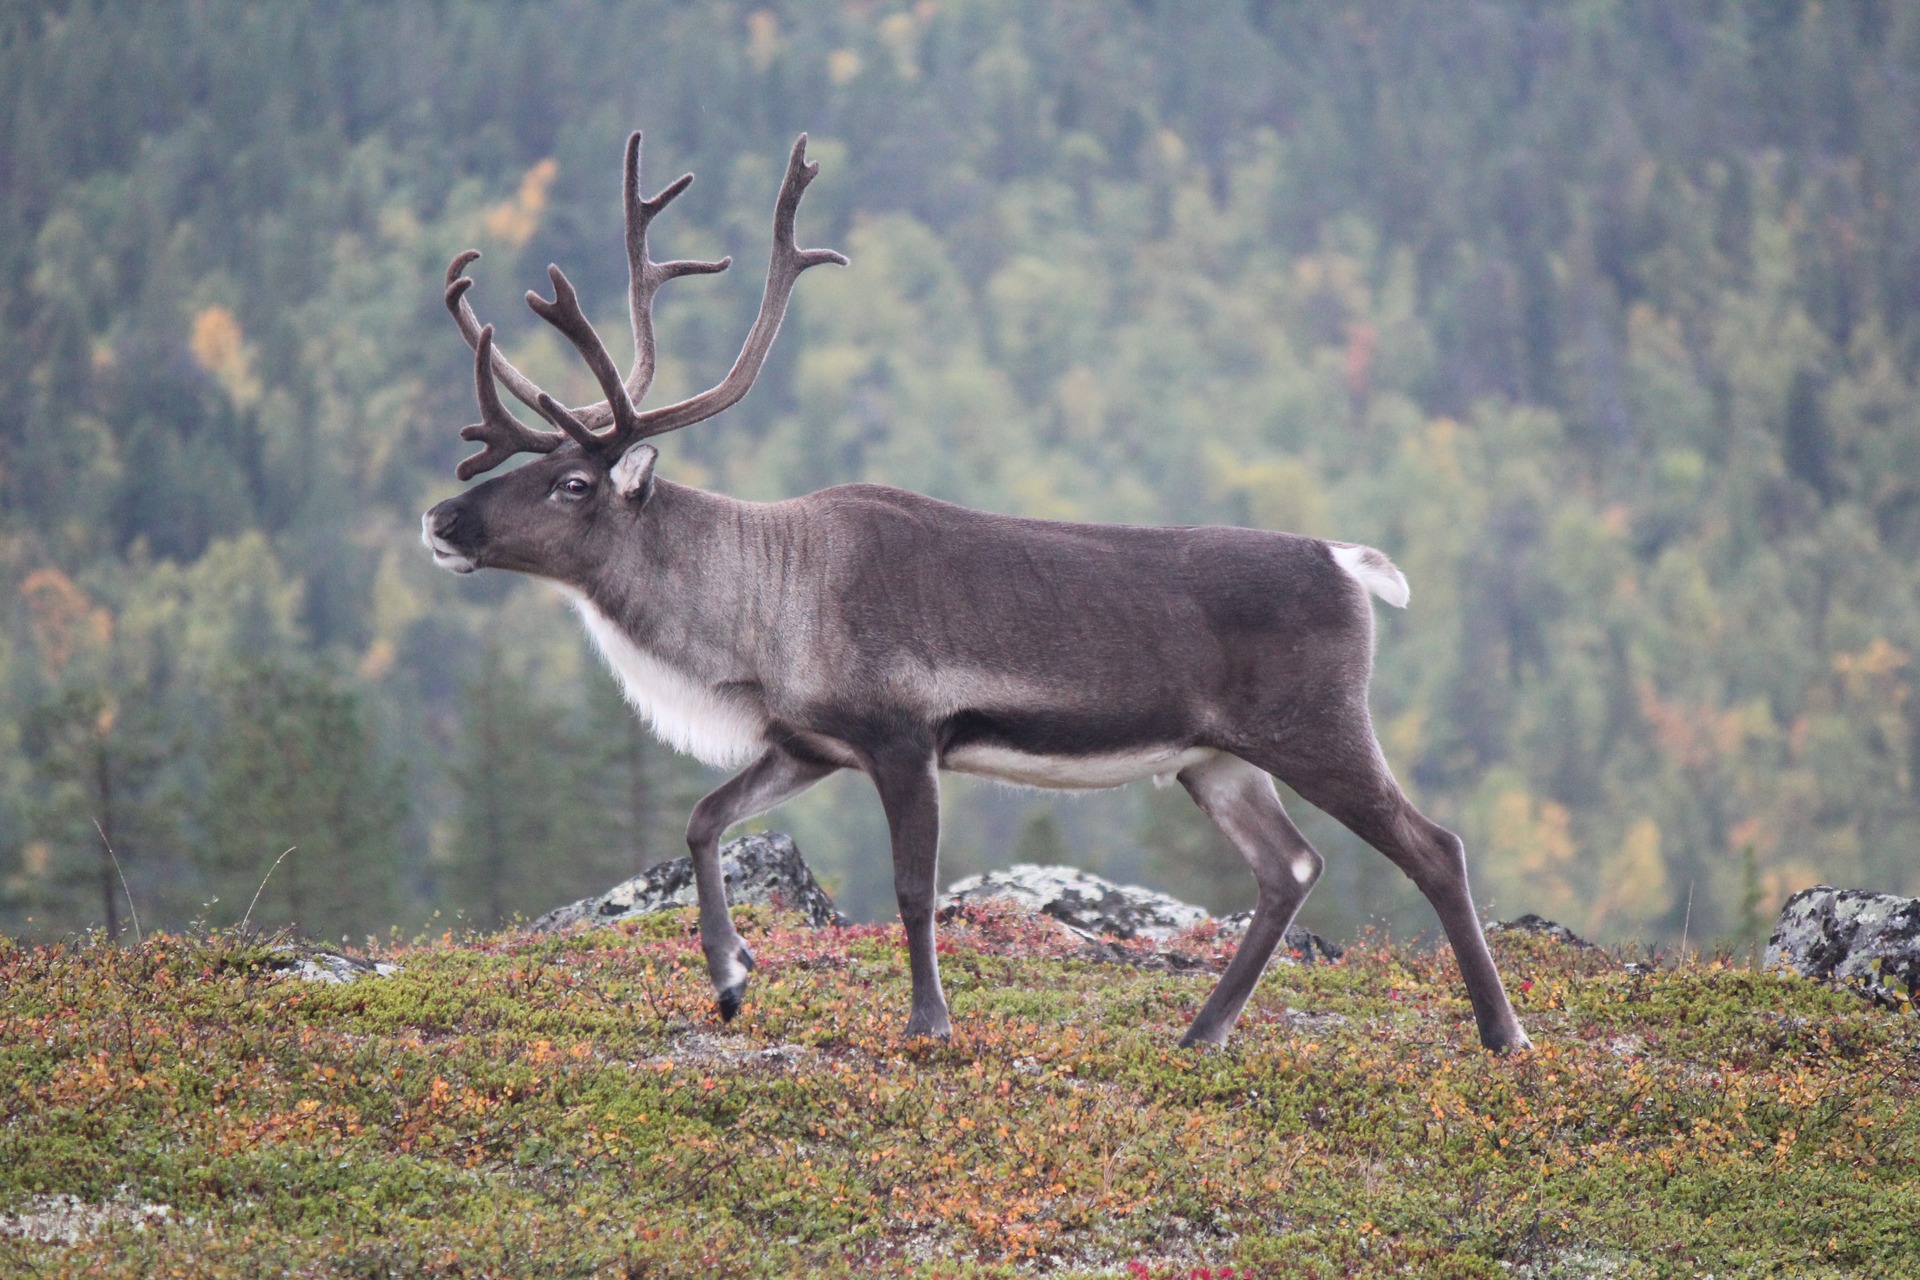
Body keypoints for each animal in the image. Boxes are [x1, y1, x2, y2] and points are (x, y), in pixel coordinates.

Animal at [421, 131, 1531, 1053]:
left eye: (573, 483)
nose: (440, 519)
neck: (758, 618)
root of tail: (1348, 560)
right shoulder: (808, 743)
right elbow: (702, 817)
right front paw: (732, 979)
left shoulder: (906, 734)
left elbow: (914, 888)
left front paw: (928, 1023)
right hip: (1217, 759)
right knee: (1289, 868)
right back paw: (1202, 1031)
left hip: (1319, 726)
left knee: (1435, 846)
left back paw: (1502, 1033)